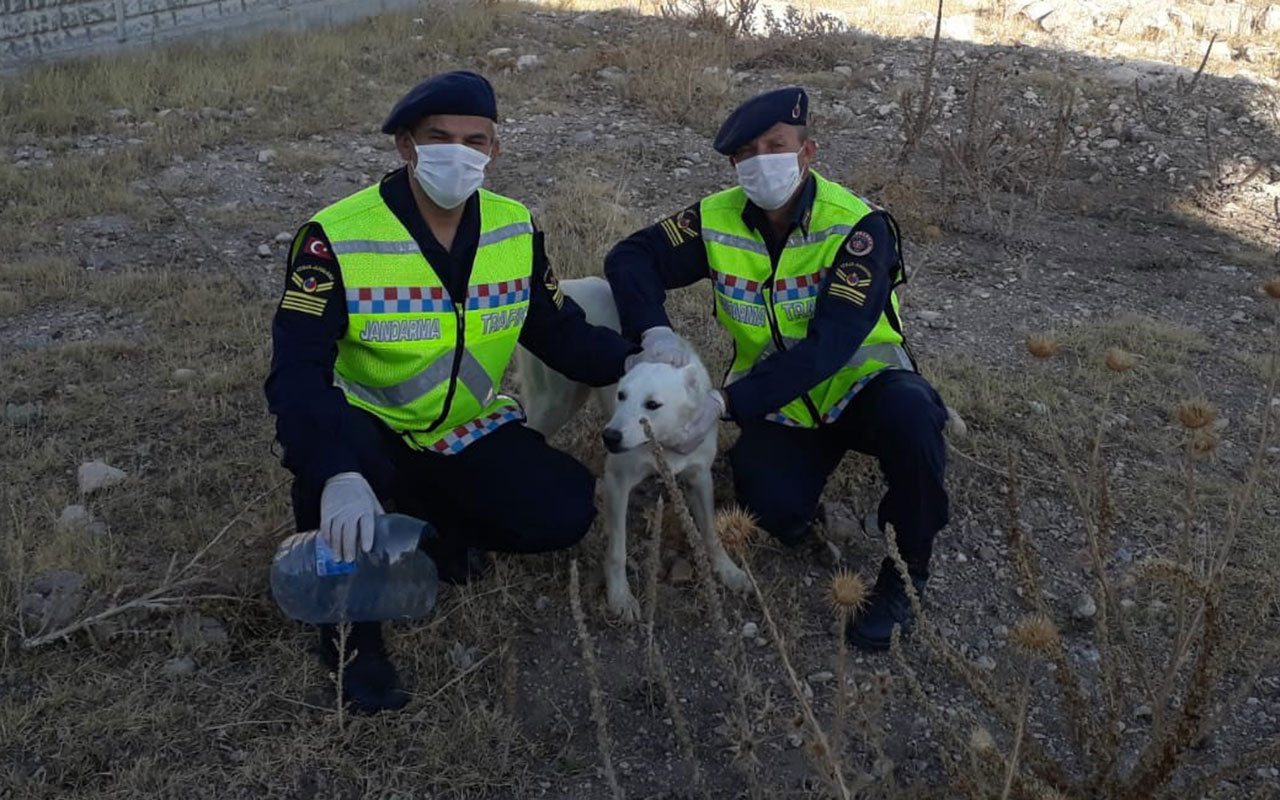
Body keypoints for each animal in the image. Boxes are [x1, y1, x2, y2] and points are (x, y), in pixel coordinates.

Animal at [512, 273, 747, 616]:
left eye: (653, 404)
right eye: (622, 395)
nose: (609, 437)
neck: (662, 441)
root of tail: (568, 284)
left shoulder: (699, 477)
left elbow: (711, 534)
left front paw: (727, 570)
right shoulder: (619, 482)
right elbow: (617, 550)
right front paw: (619, 597)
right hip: (554, 404)